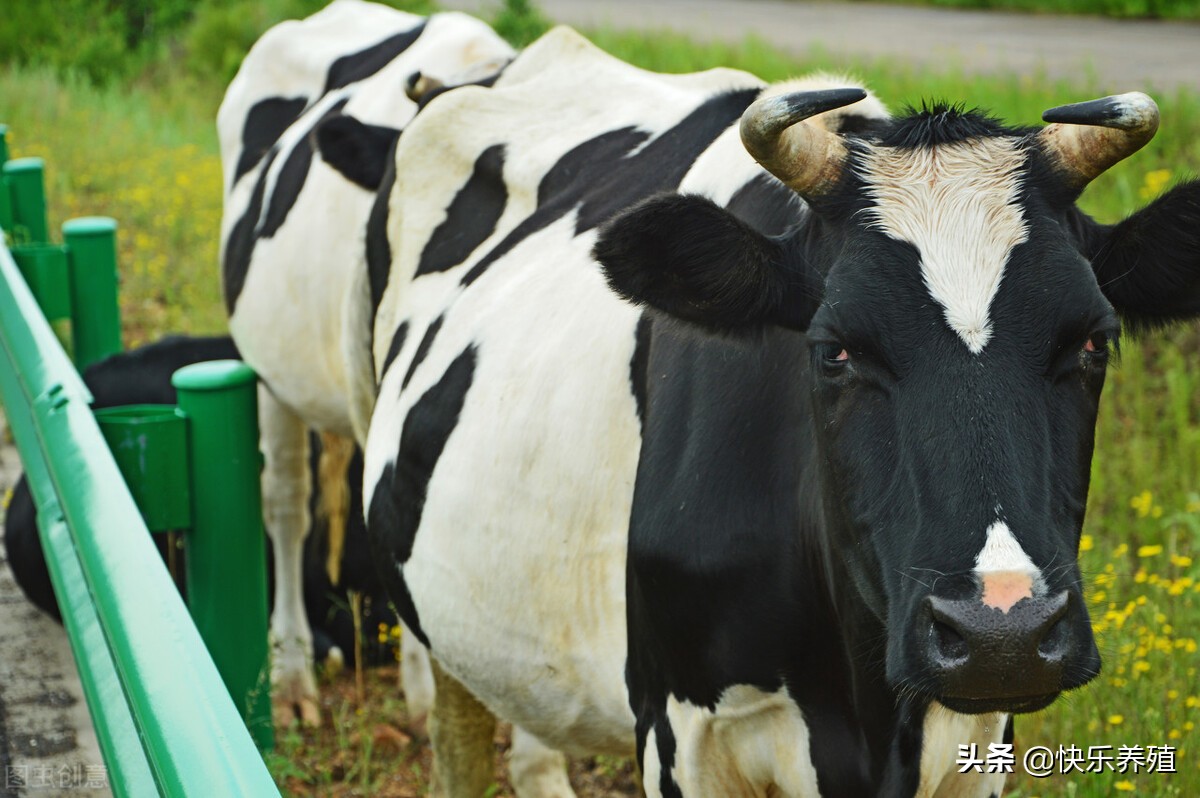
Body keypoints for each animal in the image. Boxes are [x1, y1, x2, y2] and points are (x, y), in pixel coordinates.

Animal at [338, 24, 1200, 796]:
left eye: (1092, 341)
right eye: (835, 350)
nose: (1003, 635)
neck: (866, 716)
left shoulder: (975, 737)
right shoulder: (680, 736)